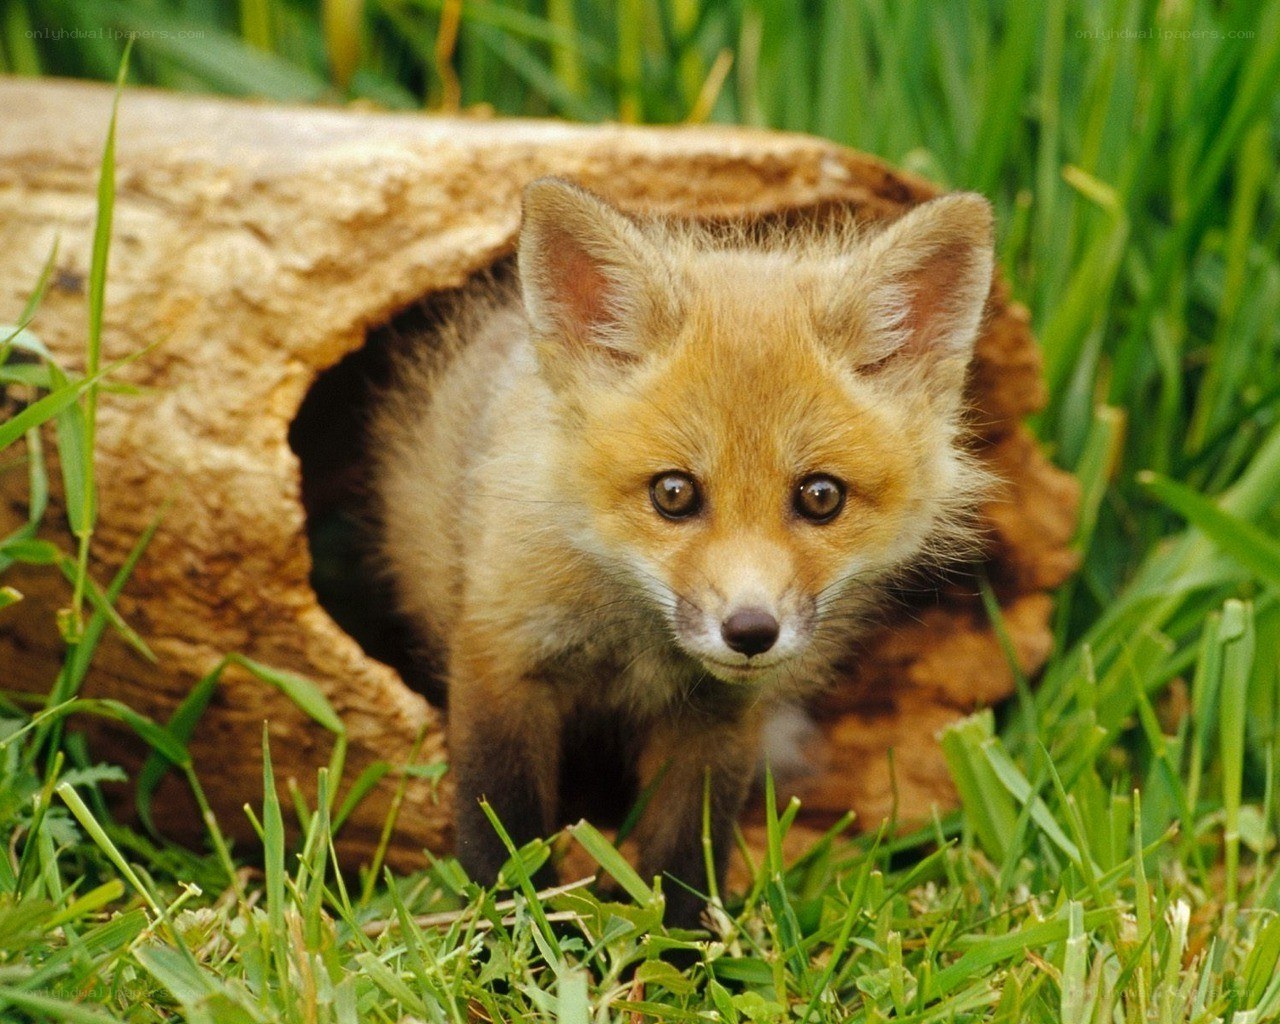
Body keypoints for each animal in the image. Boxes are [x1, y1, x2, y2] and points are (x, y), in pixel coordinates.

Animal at [369, 177, 995, 929]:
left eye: (820, 497)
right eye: (674, 493)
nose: (751, 631)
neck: (635, 642)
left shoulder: (716, 718)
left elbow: (685, 855)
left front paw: (682, 949)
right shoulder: (503, 656)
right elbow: (504, 832)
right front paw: (514, 939)